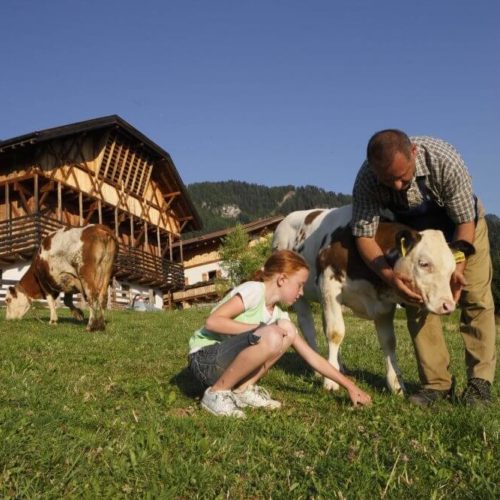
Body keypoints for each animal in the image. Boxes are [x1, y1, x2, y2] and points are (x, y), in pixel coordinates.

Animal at [274, 203, 472, 394]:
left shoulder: (384, 305)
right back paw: (318, 370)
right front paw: (330, 381)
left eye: (452, 269)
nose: (448, 305)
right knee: (308, 326)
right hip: (299, 294)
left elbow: (389, 342)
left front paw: (396, 384)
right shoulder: (329, 286)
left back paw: (340, 367)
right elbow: (335, 333)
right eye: (424, 263)